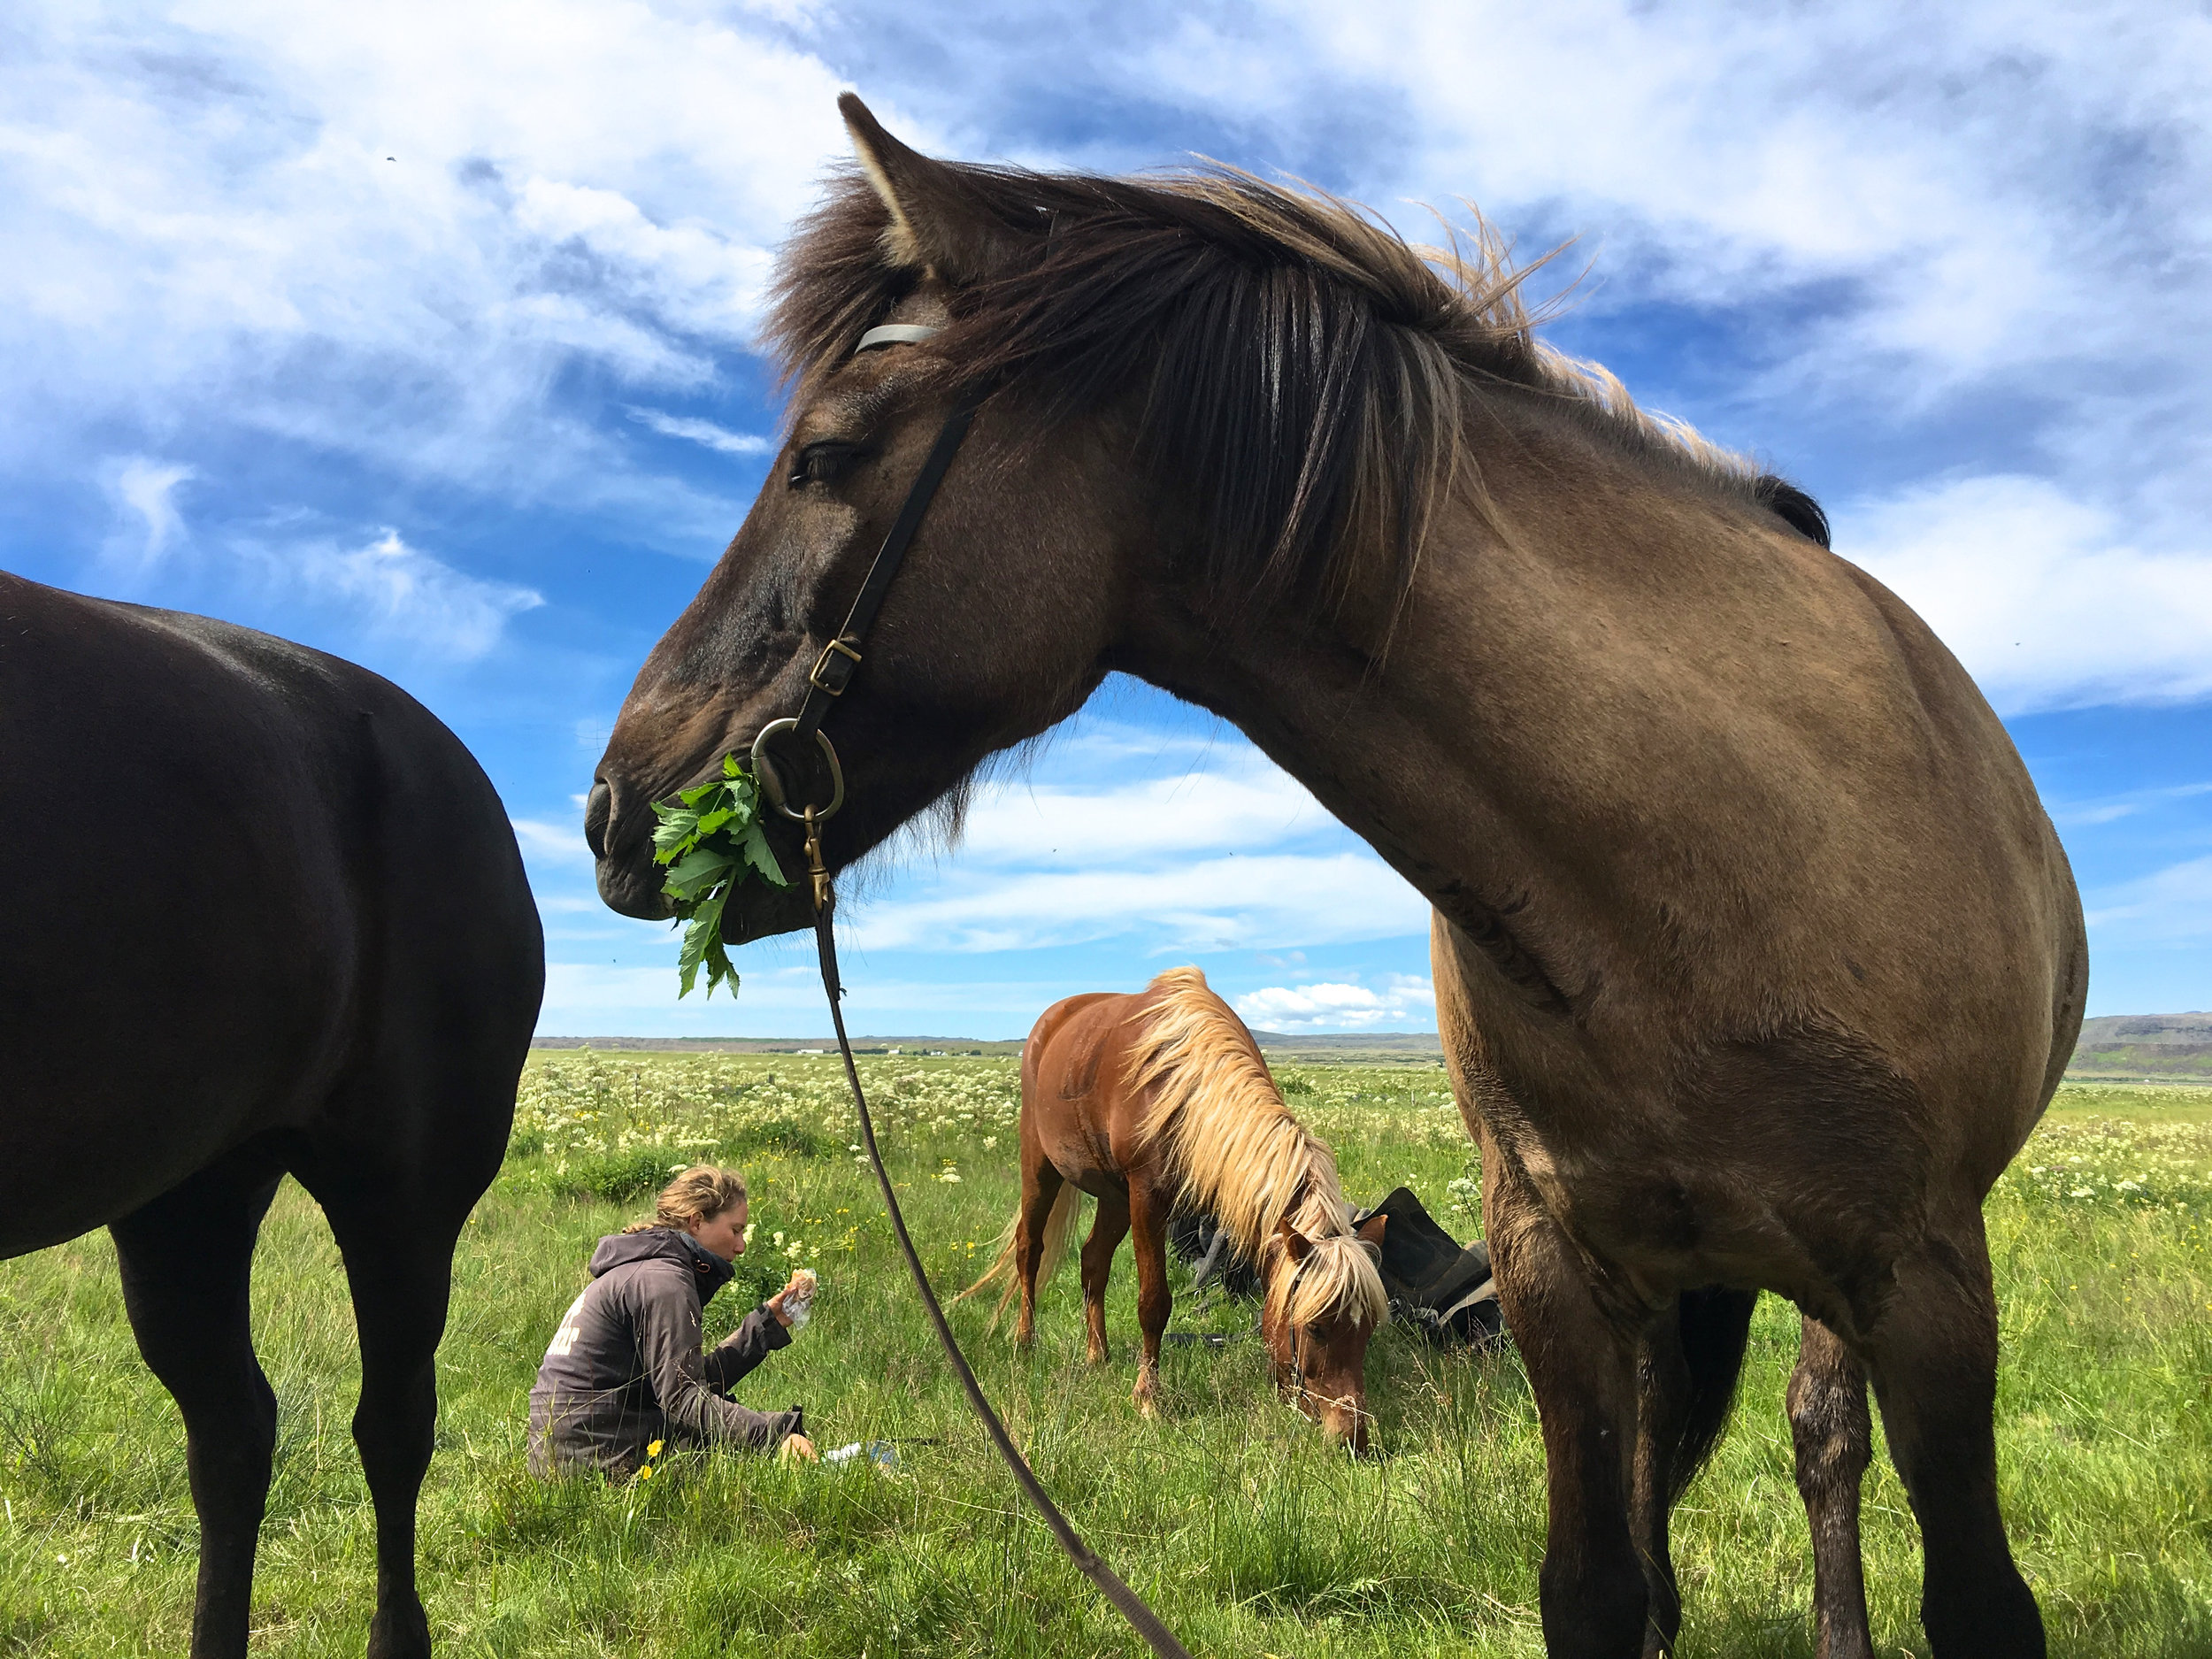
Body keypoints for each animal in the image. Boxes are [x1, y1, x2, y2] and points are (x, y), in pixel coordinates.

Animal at [960, 969, 1389, 1451]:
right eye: (1315, 1327)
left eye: (1368, 1329)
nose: (1353, 1436)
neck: (1188, 1087)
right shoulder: (1147, 1199)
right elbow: (1154, 1303)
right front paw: (1148, 1398)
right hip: (1041, 1168)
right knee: (1029, 1250)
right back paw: (1025, 1343)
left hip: (1113, 1197)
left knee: (1093, 1261)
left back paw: (1097, 1355)